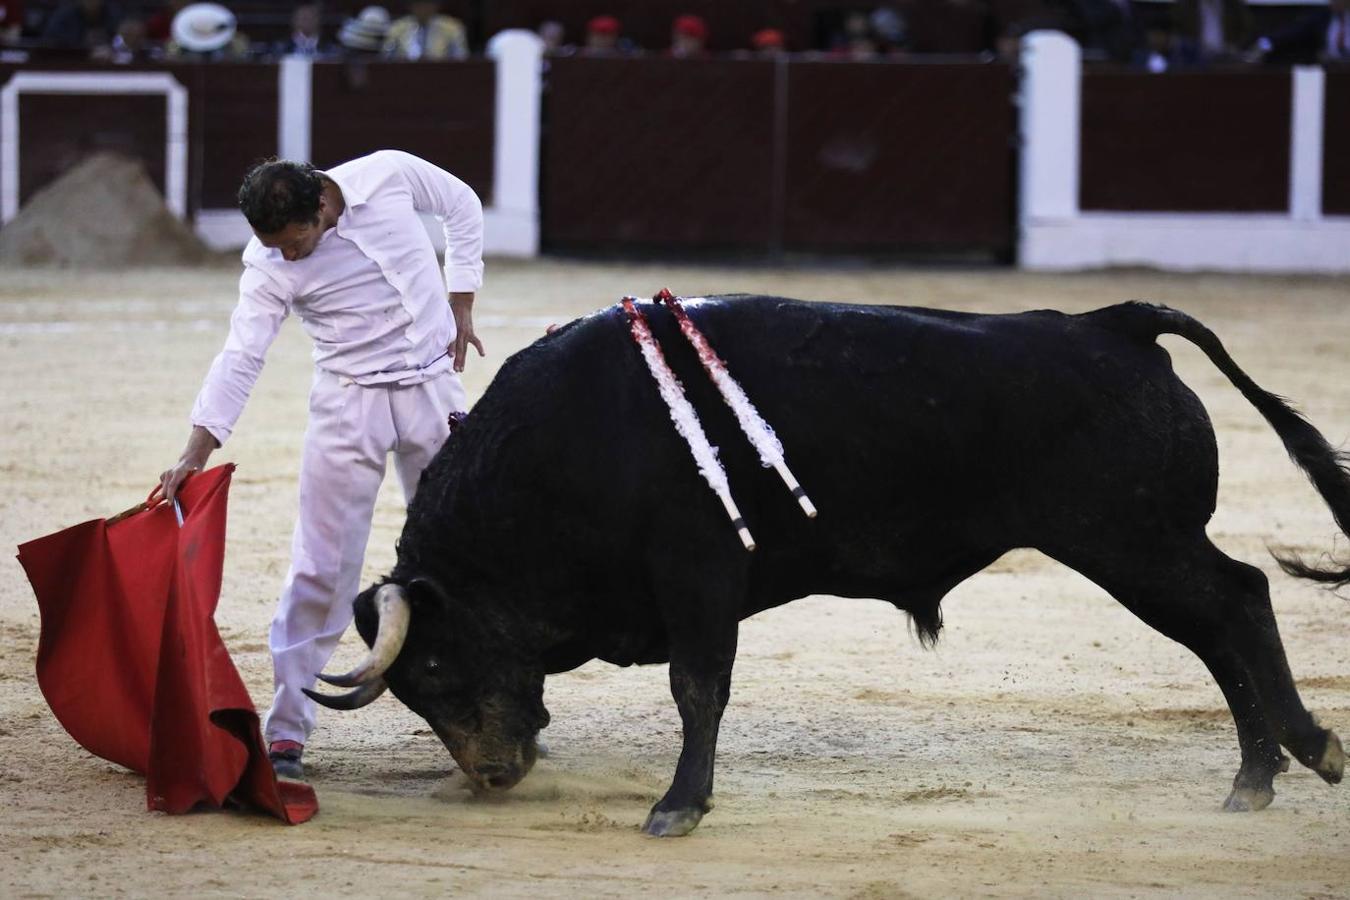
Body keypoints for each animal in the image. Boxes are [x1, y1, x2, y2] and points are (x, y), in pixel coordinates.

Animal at [309, 296, 1350, 836]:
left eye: (437, 665)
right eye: (415, 691)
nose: (493, 775)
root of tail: (1112, 322)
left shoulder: (698, 578)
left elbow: (698, 688)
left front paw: (679, 807)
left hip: (1131, 541)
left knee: (1240, 602)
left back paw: (1306, 750)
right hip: (1137, 547)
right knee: (1219, 629)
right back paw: (1253, 778)